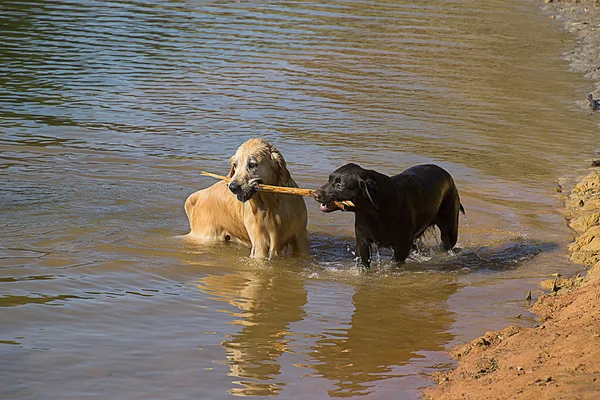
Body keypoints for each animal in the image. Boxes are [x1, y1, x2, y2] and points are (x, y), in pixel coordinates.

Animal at [314, 162, 464, 268]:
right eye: (329, 180)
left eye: (339, 185)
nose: (315, 194)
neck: (374, 212)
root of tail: (447, 175)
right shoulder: (362, 241)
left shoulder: (401, 246)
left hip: (450, 229)